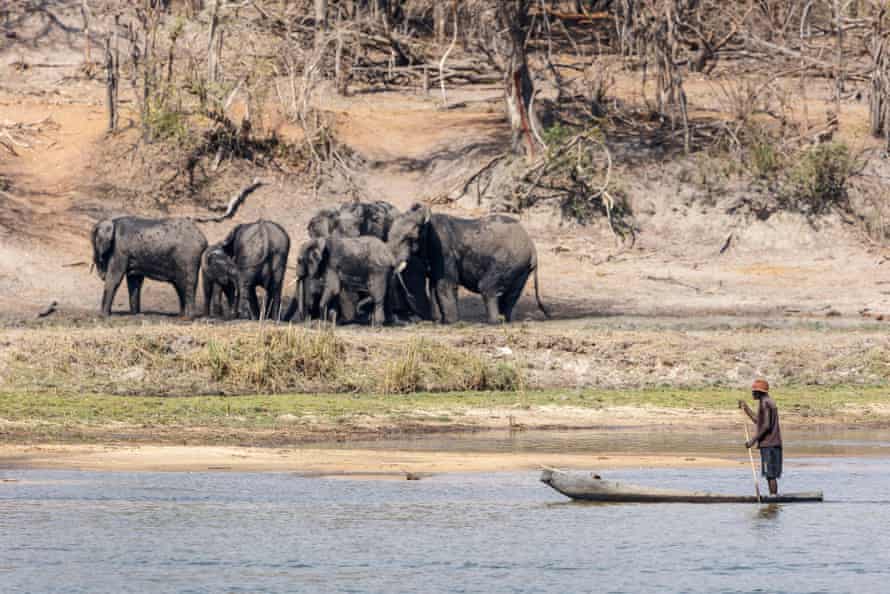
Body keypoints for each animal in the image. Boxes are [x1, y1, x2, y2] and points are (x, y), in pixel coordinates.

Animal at [386, 204, 548, 324]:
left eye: (409, 237)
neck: (427, 222)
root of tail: (532, 247)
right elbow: (433, 285)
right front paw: (439, 321)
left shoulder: (443, 249)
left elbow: (444, 284)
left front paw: (451, 323)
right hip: (522, 268)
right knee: (512, 294)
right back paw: (505, 321)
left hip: (509, 261)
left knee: (487, 287)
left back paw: (493, 322)